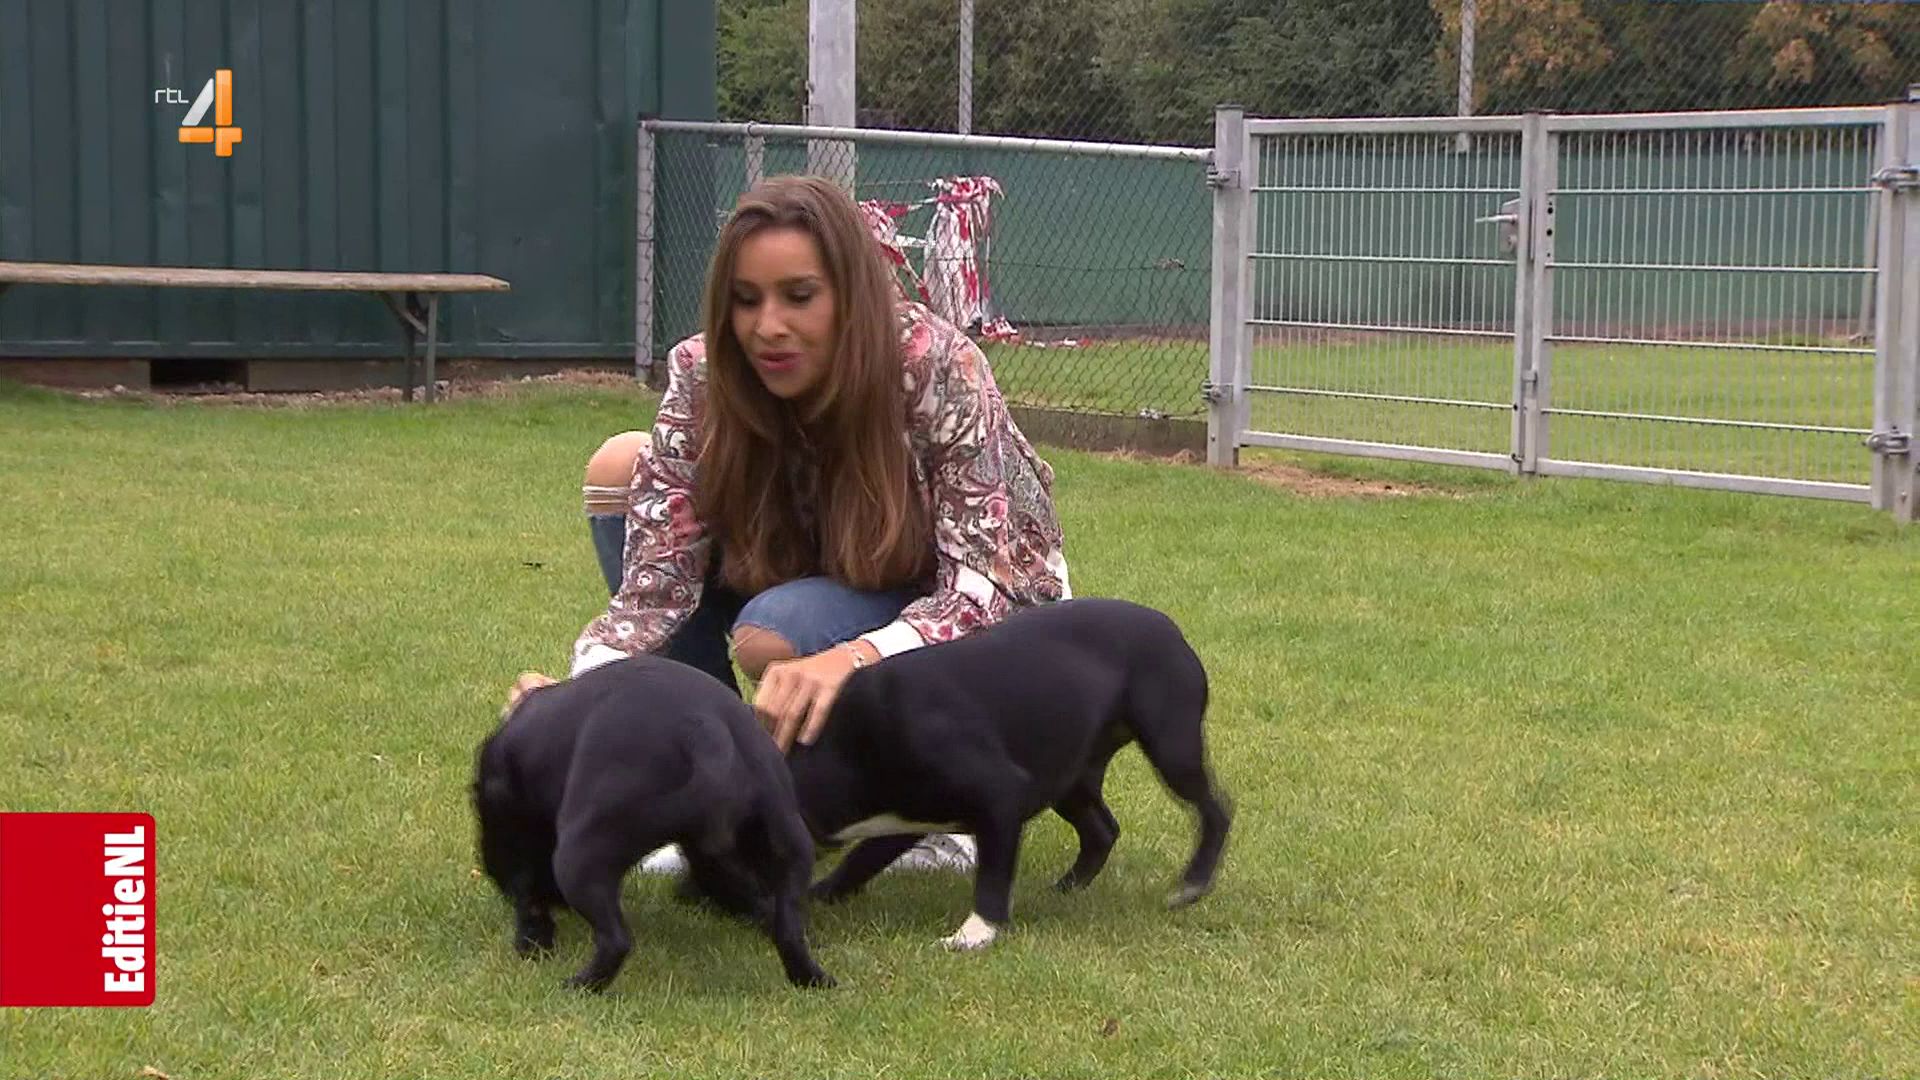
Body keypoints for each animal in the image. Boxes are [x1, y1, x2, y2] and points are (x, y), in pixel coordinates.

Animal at [471, 654, 835, 991]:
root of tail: (706, 731)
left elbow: (526, 895)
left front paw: (532, 942)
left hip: (579, 856)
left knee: (616, 940)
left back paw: (580, 985)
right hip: (786, 844)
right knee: (788, 928)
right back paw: (813, 978)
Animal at [790, 597, 1232, 951]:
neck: (844, 750)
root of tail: (1170, 628)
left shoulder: (1000, 797)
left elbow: (992, 874)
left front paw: (975, 934)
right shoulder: (905, 815)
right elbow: (861, 859)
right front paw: (822, 893)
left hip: (1171, 746)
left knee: (1214, 807)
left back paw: (1192, 883)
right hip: (1067, 773)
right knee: (1101, 829)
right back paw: (1065, 889)